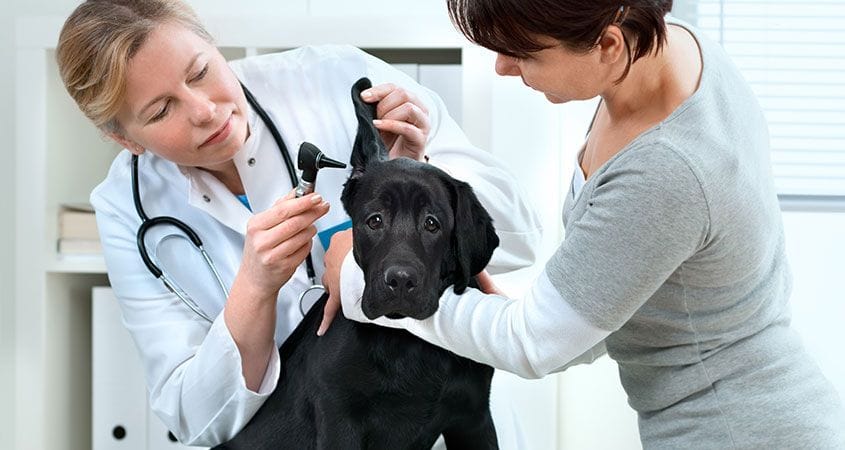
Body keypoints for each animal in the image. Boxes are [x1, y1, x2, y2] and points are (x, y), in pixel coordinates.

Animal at [214, 79, 498, 448]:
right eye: (374, 220)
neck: (408, 344)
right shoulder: (339, 419)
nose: (400, 281)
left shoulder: (474, 419)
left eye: (432, 224)